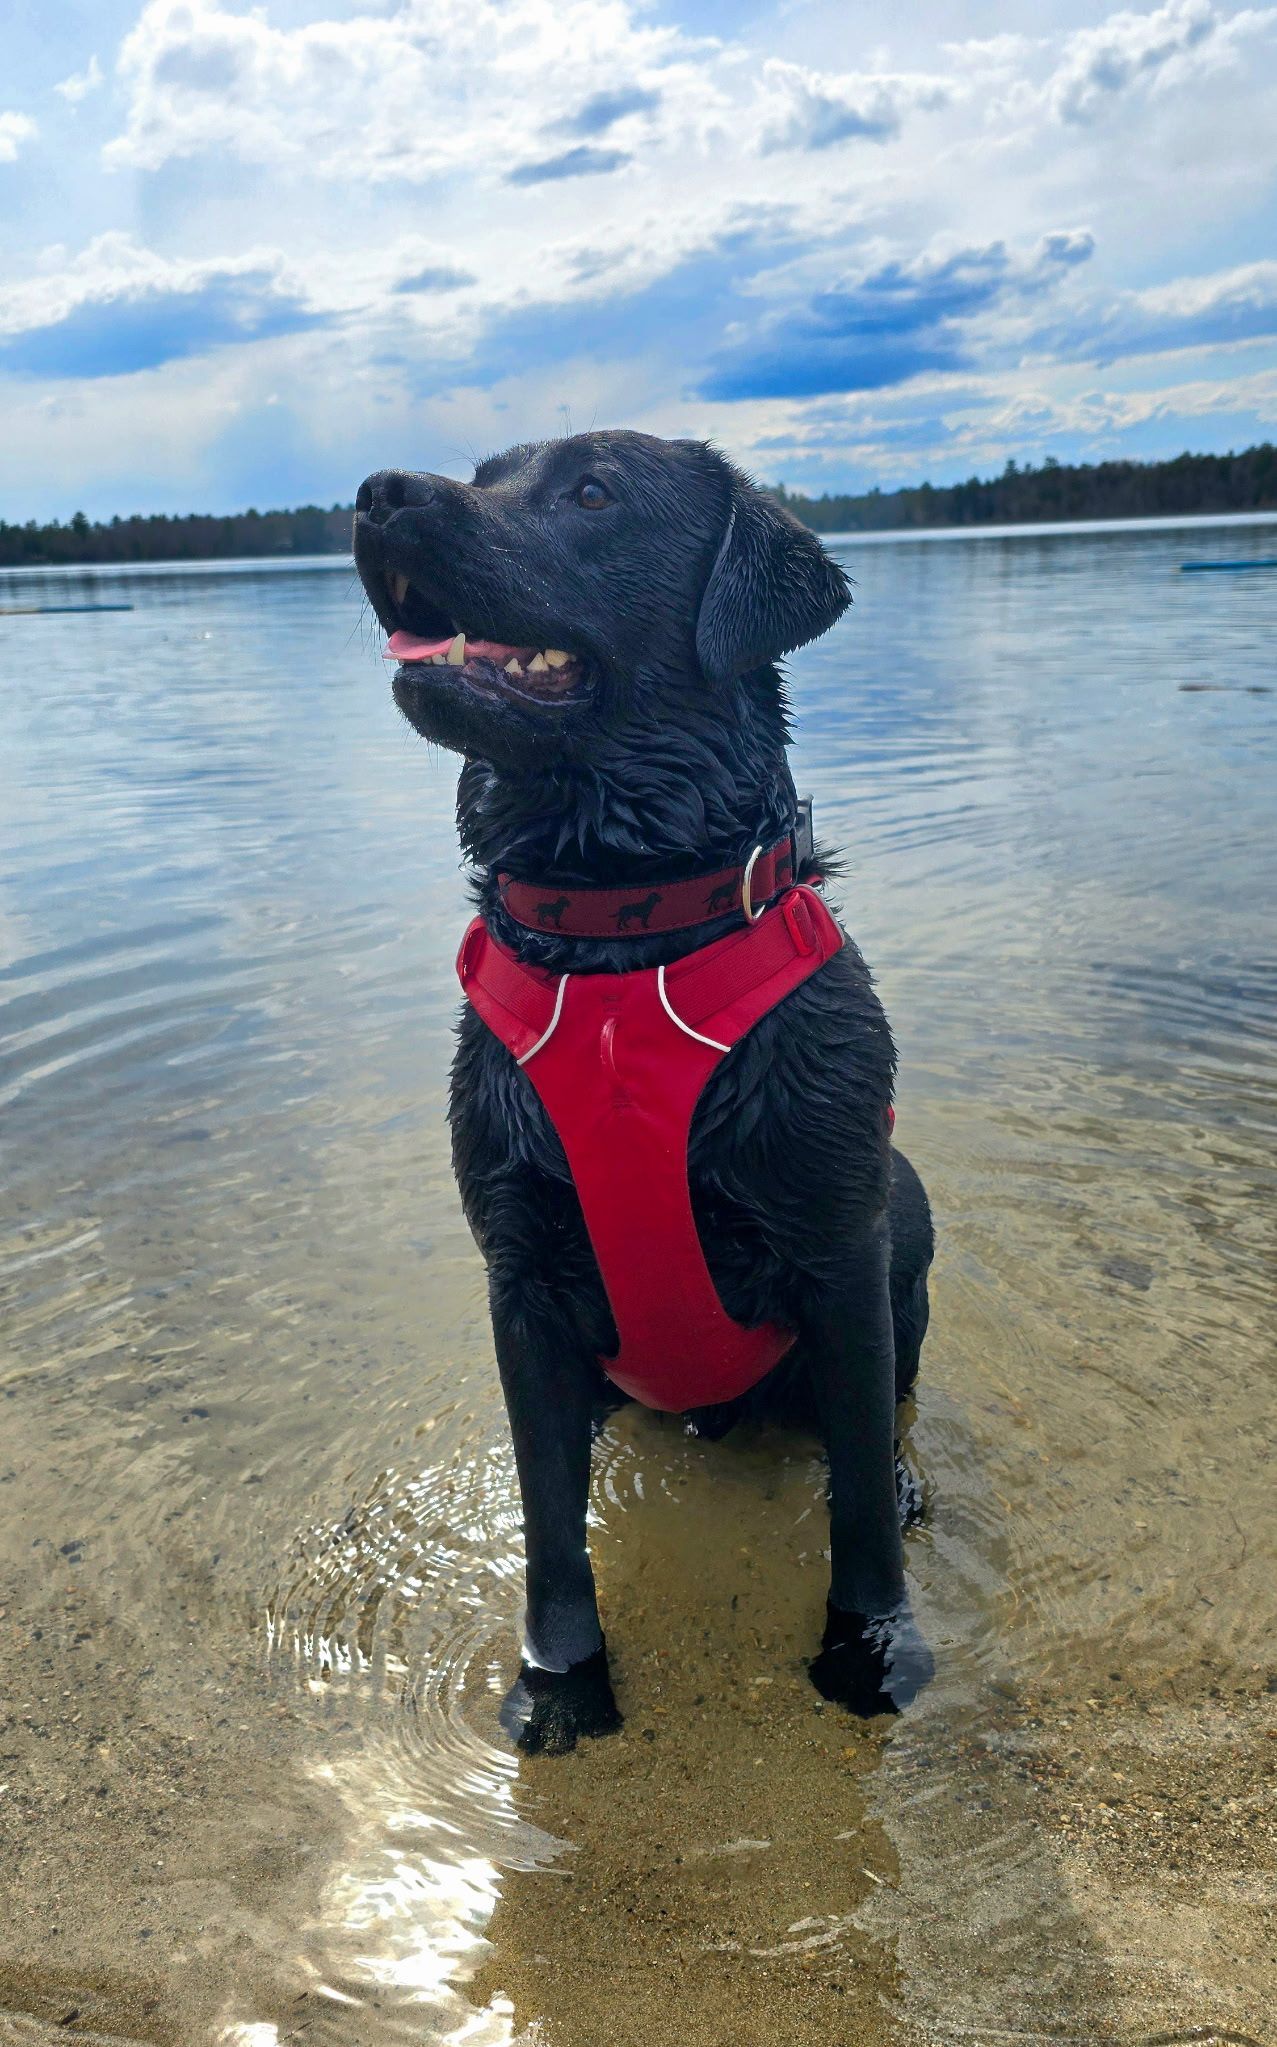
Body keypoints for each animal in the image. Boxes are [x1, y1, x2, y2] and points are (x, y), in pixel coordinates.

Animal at [353, 430, 935, 1755]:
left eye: (590, 492)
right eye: (482, 473)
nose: (377, 494)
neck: (620, 947)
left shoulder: (840, 1244)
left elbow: (859, 1509)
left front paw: (872, 1648)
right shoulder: (518, 1272)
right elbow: (548, 1525)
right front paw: (560, 1681)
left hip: (906, 1209)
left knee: (886, 1420)